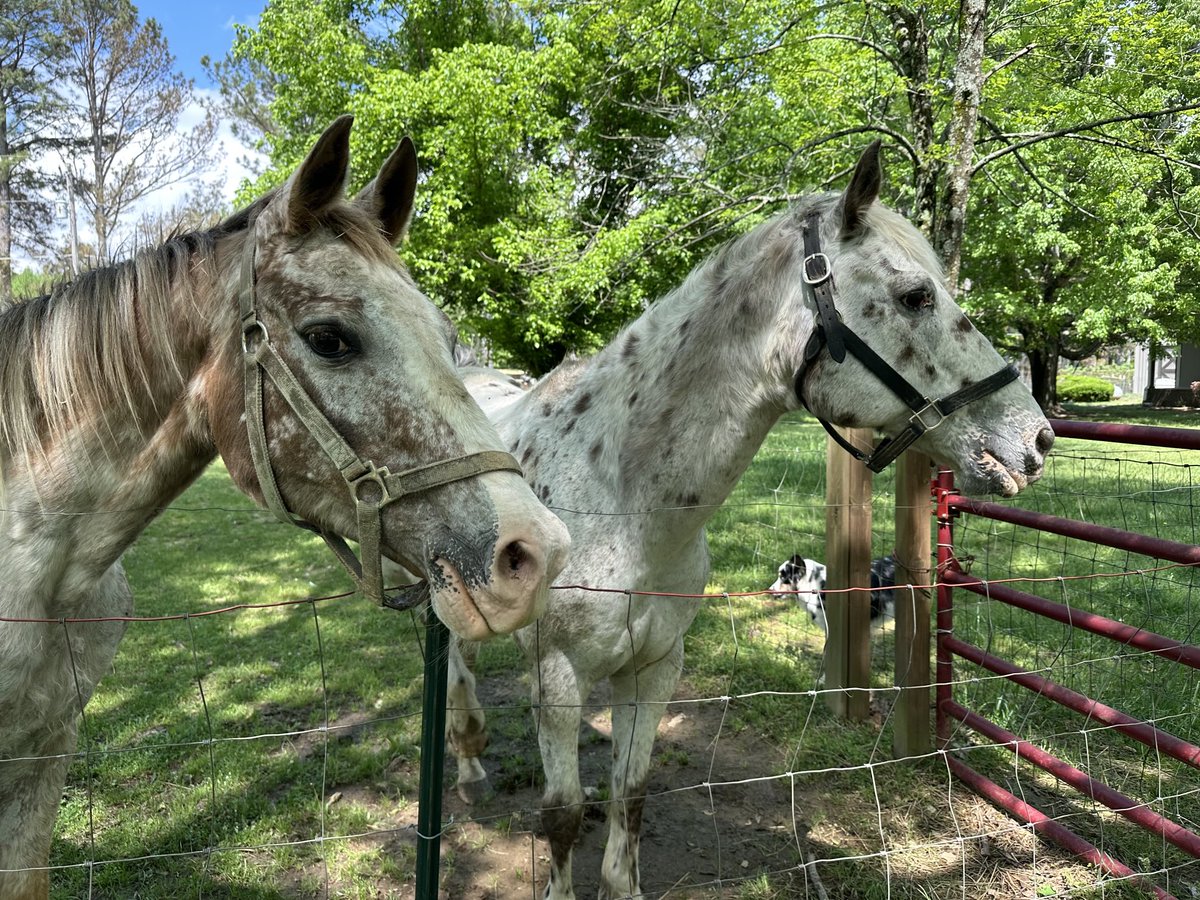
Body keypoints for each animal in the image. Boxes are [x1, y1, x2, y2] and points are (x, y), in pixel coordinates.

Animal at [424, 141, 1054, 899]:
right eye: (915, 296)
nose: (1036, 438)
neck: (620, 502)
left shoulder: (656, 666)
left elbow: (631, 794)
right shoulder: (560, 677)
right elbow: (563, 815)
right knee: (455, 672)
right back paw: (468, 766)